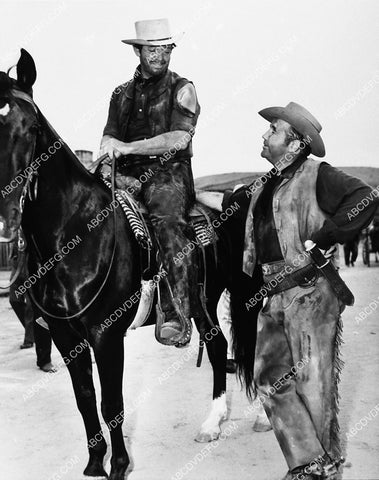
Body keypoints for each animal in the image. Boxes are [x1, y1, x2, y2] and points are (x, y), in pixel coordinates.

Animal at [0, 49, 262, 480]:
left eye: (32, 126)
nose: (5, 214)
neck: (75, 234)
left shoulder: (106, 335)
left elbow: (112, 404)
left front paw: (119, 465)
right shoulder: (65, 335)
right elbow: (85, 399)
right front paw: (94, 463)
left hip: (247, 294)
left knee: (250, 347)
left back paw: (261, 416)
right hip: (204, 299)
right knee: (218, 344)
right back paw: (213, 422)